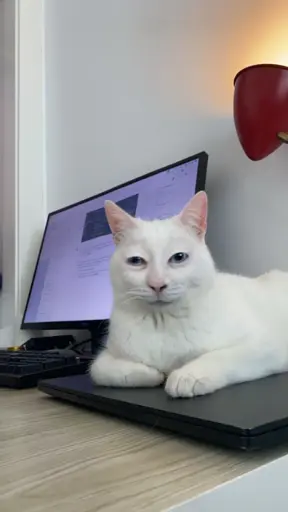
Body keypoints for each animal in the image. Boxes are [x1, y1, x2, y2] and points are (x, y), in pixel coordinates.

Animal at [89, 191, 288, 396]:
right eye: (136, 261)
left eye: (178, 257)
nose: (157, 284)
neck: (162, 322)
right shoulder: (105, 356)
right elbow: (100, 370)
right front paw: (151, 373)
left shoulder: (264, 345)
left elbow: (220, 355)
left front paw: (187, 376)